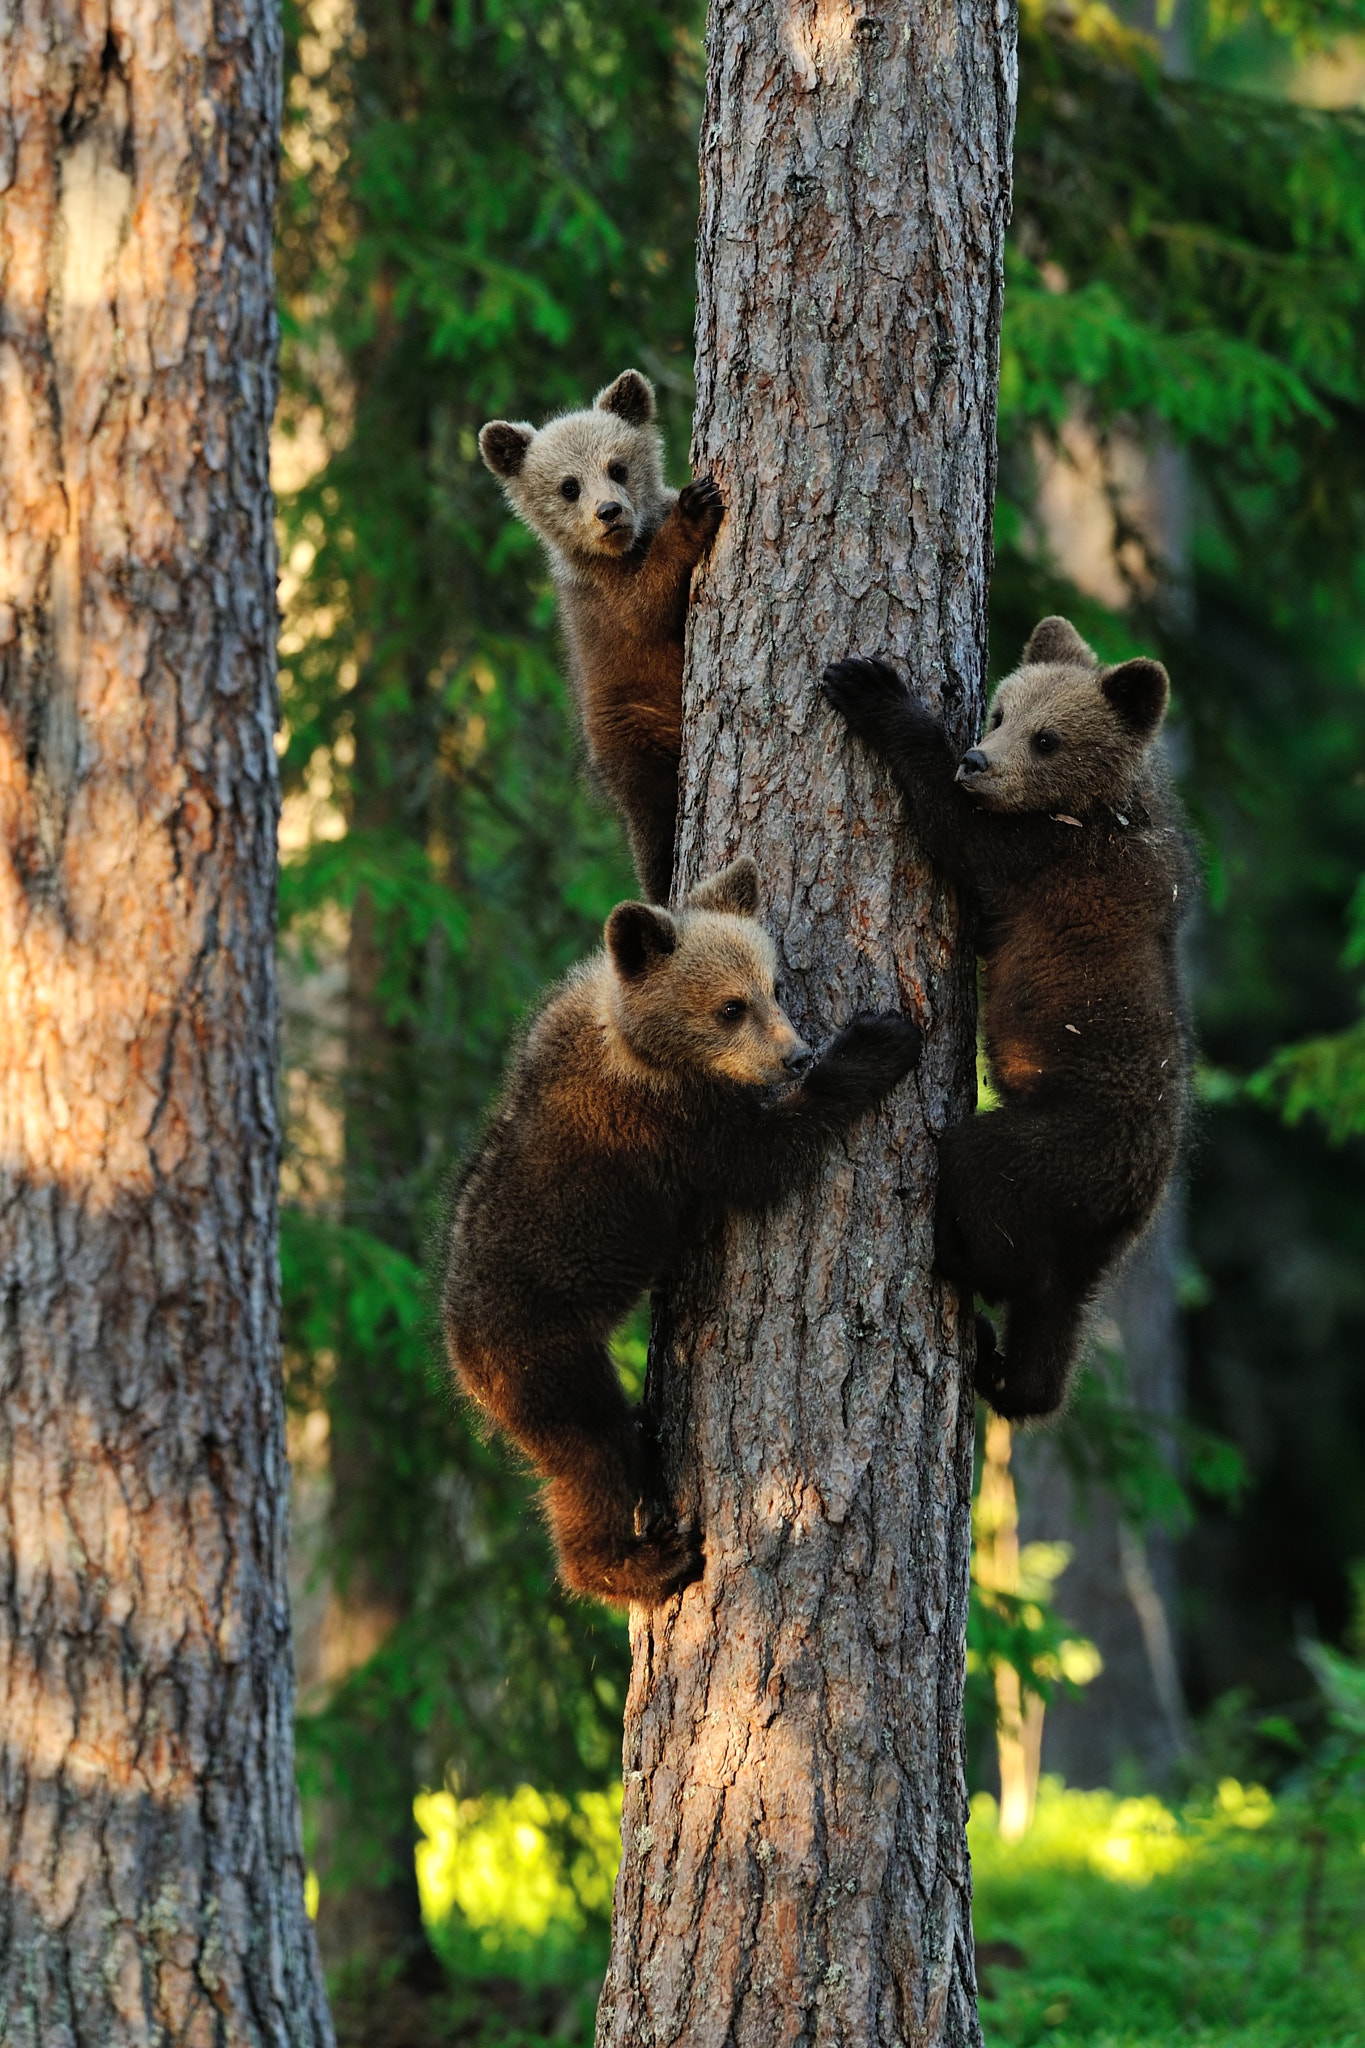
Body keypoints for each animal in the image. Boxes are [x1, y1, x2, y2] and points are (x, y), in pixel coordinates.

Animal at [442, 856, 923, 1605]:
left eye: (772, 987)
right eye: (730, 1007)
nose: (795, 1055)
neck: (634, 1040)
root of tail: (460, 1353)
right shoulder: (665, 1124)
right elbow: (760, 1159)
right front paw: (877, 1042)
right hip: (543, 1356)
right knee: (588, 1453)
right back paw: (639, 1561)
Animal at [479, 369, 723, 905]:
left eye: (618, 466)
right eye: (568, 486)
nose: (609, 512)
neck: (626, 549)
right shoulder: (608, 605)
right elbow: (648, 606)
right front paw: (695, 508)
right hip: (634, 734)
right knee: (652, 825)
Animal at [821, 615, 1193, 1421]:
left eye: (1046, 737)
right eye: (998, 711)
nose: (976, 760)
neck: (1096, 807)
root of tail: (1133, 1201)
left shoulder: (1049, 857)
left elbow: (956, 832)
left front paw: (871, 689)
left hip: (1058, 1146)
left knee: (985, 1183)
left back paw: (954, 1260)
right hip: (1086, 1227)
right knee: (1052, 1318)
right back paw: (1006, 1369)